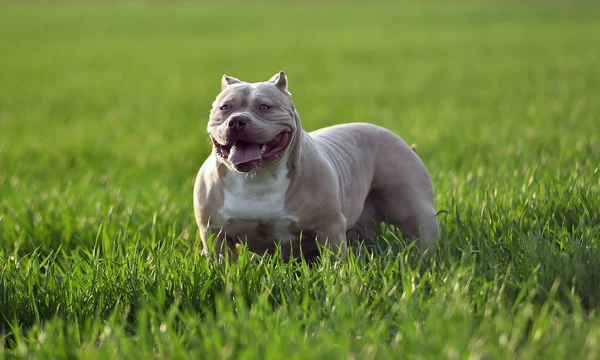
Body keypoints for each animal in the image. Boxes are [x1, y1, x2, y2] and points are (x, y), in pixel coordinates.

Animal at [195, 71, 438, 262]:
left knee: (422, 235)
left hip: (415, 209)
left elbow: (332, 264)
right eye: (224, 108)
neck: (256, 178)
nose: (236, 120)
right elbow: (223, 265)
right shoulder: (214, 234)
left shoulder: (328, 229)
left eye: (265, 107)